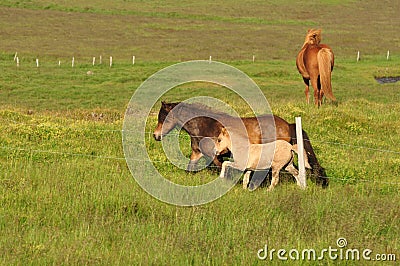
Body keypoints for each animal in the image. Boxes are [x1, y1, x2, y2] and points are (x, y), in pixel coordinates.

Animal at [153, 101, 328, 188]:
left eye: (164, 118)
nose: (156, 135)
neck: (205, 125)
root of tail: (287, 124)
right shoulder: (196, 154)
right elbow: (190, 169)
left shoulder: (217, 156)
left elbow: (224, 169)